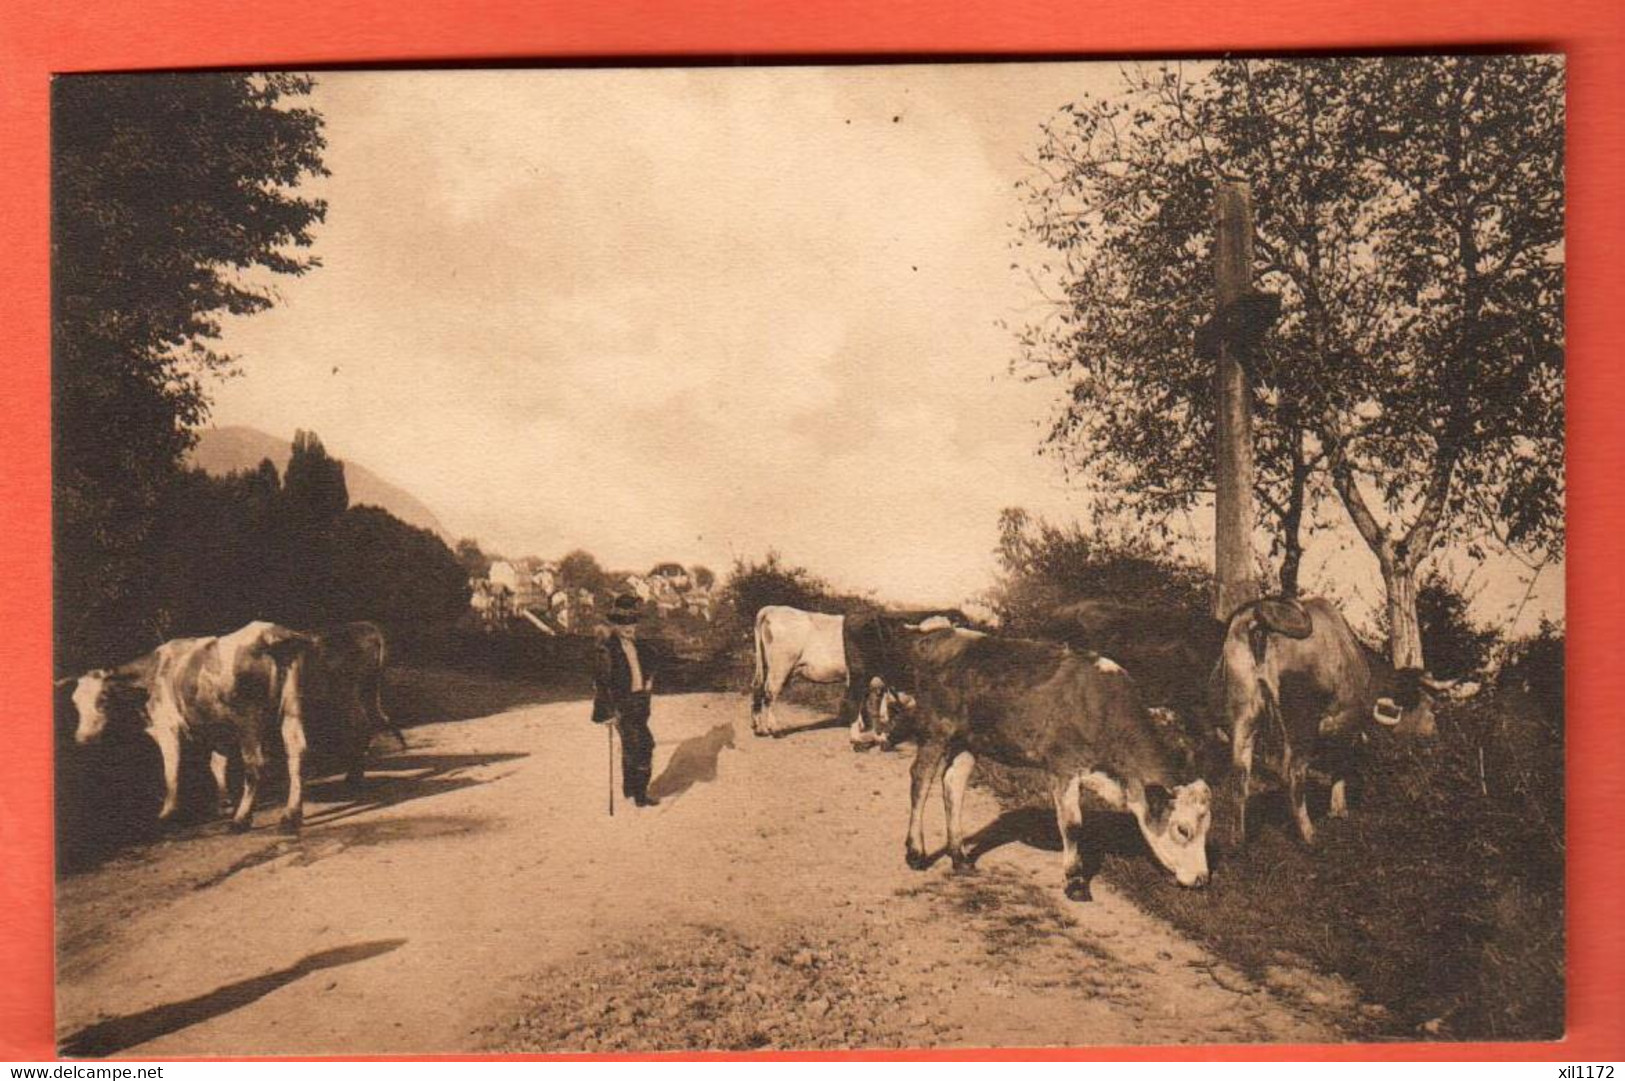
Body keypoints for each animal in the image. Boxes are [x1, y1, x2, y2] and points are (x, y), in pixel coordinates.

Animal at [60, 620, 315, 829]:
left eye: (103, 698)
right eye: (74, 702)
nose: (83, 738)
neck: (152, 675)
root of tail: (269, 632)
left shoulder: (168, 728)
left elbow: (171, 770)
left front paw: (168, 813)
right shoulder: (216, 728)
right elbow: (217, 765)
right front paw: (223, 804)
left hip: (248, 718)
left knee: (255, 763)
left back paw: (241, 819)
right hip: (292, 707)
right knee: (297, 751)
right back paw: (290, 815)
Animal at [1222, 594, 1462, 845]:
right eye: (1427, 704)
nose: (1433, 736)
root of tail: (1258, 620)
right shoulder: (1346, 720)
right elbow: (1341, 761)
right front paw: (1338, 809)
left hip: (1243, 712)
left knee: (1240, 773)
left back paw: (1237, 838)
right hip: (1302, 720)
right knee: (1294, 772)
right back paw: (1308, 835)